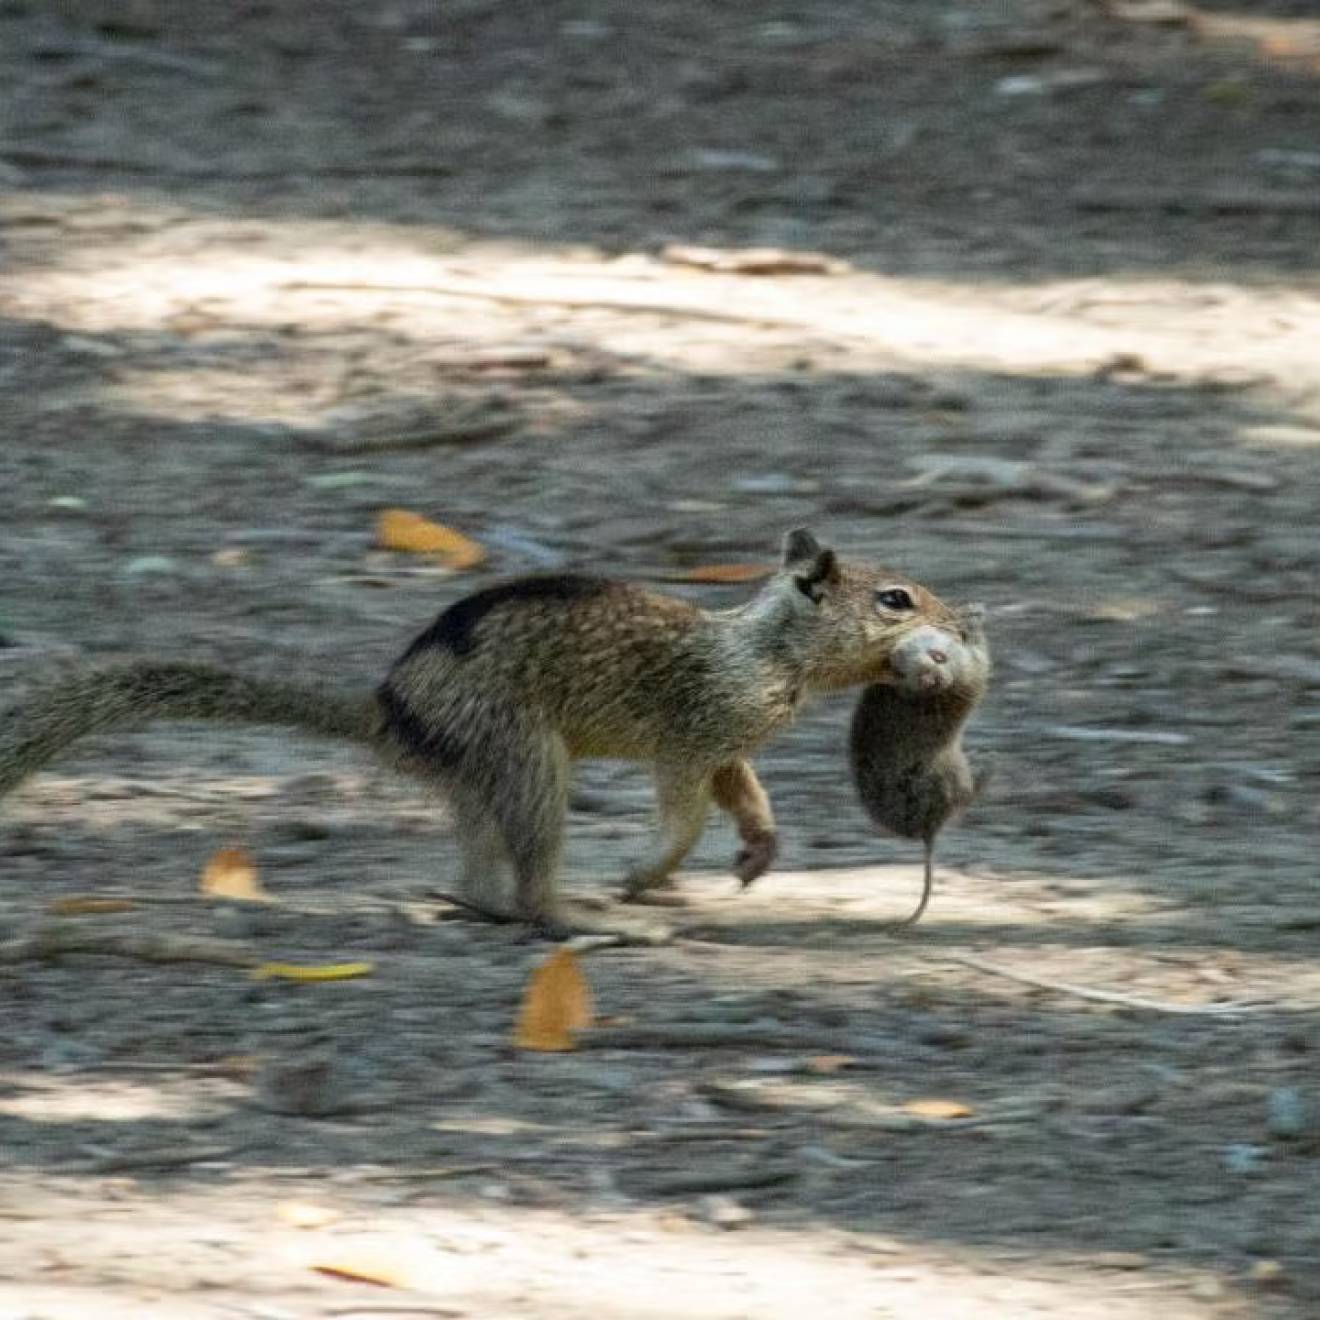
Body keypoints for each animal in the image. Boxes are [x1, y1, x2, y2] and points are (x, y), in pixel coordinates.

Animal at [0, 530, 971, 945]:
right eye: (895, 599)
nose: (963, 622)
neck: (767, 648)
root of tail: (387, 710)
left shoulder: (730, 741)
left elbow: (745, 792)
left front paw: (759, 850)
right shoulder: (692, 734)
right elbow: (686, 809)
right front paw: (646, 873)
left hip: (479, 776)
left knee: (475, 871)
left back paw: (478, 902)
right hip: (526, 756)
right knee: (532, 875)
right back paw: (577, 914)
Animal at [844, 604, 992, 924]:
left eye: (938, 657)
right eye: (901, 671)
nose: (931, 680)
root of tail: (927, 830)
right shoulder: (974, 671)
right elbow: (980, 652)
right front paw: (971, 617)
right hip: (953, 773)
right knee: (966, 797)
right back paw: (987, 764)